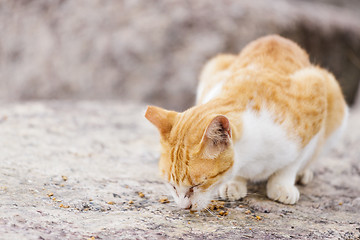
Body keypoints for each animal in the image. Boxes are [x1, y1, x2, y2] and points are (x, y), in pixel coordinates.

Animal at [145, 34, 348, 211]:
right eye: (171, 185)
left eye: (198, 184)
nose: (184, 207)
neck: (252, 158)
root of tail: (276, 37)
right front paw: (234, 183)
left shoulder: (314, 92)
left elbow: (292, 163)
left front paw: (282, 185)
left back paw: (303, 173)